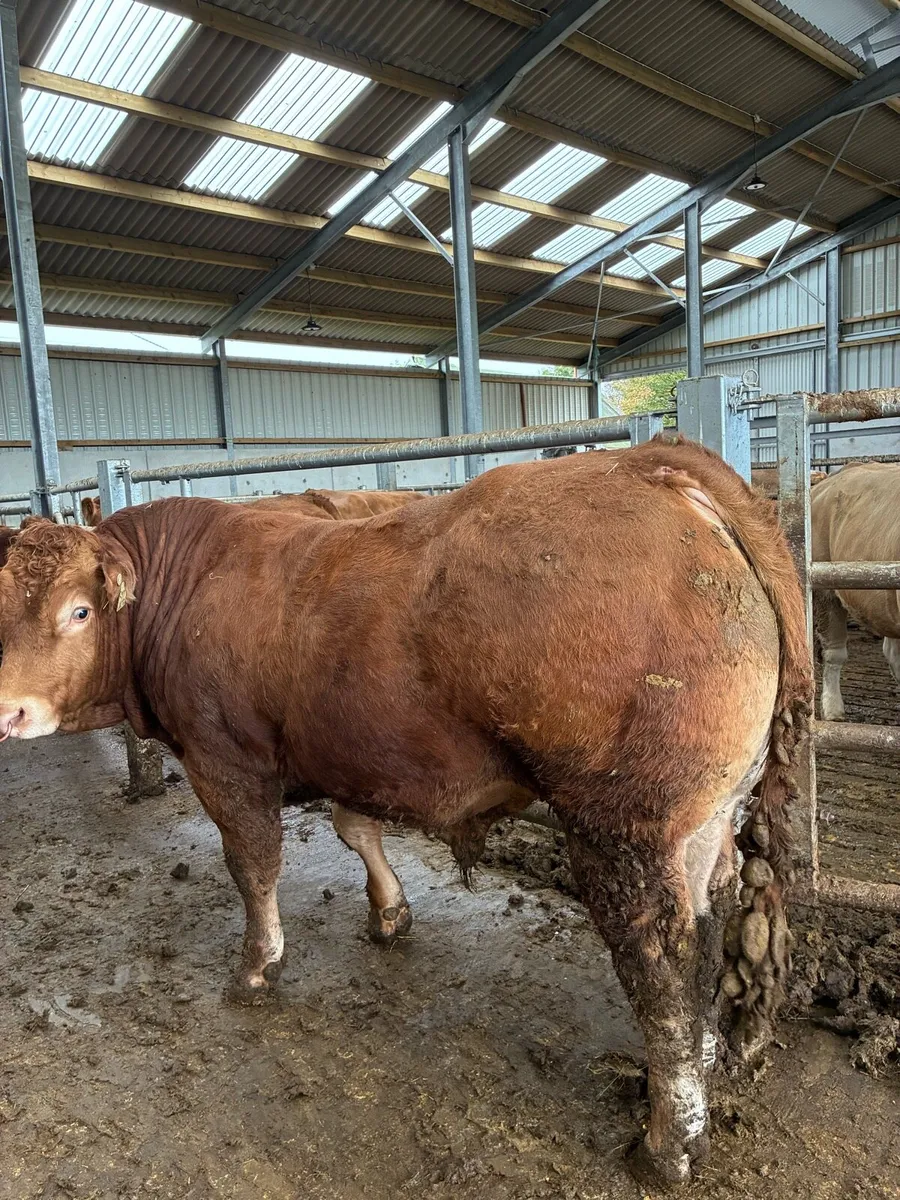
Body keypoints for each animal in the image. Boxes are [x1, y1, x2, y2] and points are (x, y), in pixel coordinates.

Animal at [0, 438, 811, 1187]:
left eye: (78, 610)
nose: (9, 711)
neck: (188, 584)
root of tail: (647, 464)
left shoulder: (223, 761)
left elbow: (253, 865)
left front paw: (257, 967)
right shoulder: (347, 751)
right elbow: (355, 826)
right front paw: (389, 913)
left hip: (624, 829)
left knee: (663, 967)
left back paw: (668, 1142)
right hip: (705, 819)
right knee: (710, 926)